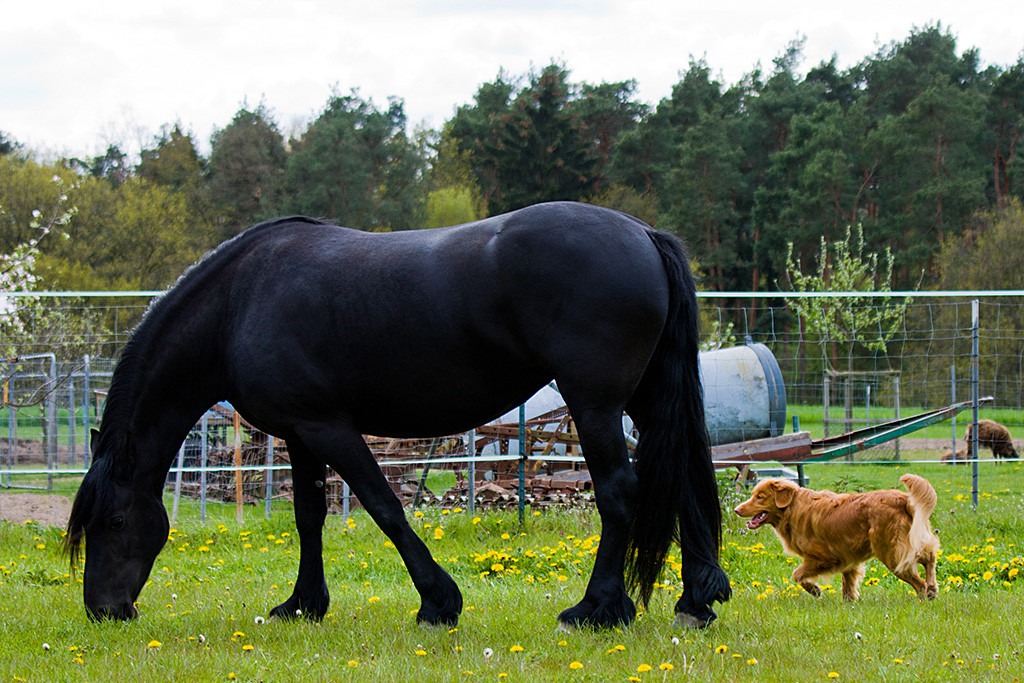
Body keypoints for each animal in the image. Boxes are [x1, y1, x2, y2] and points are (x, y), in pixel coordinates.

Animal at [64, 201, 731, 630]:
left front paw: (438, 603)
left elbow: (384, 506)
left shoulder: (330, 427)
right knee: (684, 477)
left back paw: (596, 610)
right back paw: (695, 601)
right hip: (644, 400)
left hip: (595, 406)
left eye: (116, 521)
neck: (240, 302)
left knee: (619, 493)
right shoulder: (300, 434)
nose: (103, 610)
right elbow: (309, 517)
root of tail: (642, 233)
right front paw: (302, 605)